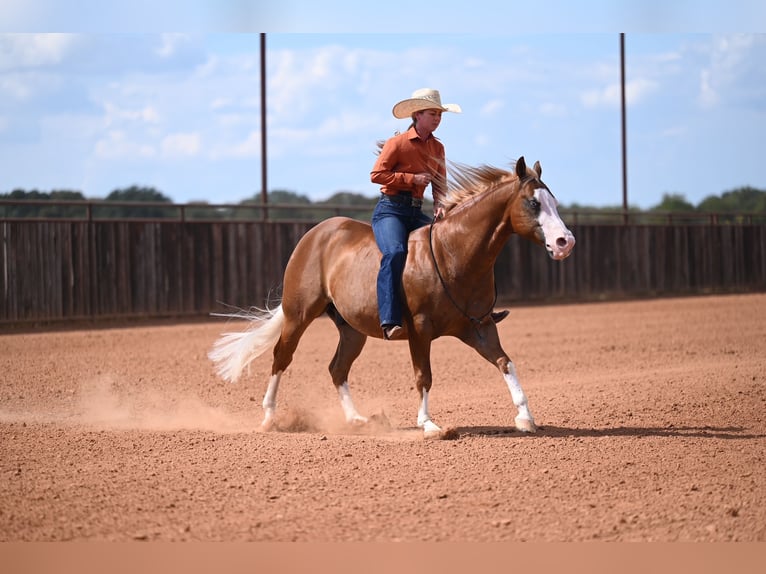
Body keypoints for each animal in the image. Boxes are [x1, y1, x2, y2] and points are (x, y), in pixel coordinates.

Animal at [208, 156, 575, 437]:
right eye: (533, 202)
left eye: (554, 202)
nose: (565, 242)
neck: (453, 254)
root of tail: (316, 234)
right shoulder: (420, 329)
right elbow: (424, 375)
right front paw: (428, 424)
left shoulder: (480, 327)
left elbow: (505, 362)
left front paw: (525, 417)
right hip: (299, 314)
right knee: (281, 358)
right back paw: (269, 418)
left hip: (352, 329)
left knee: (337, 368)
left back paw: (356, 419)